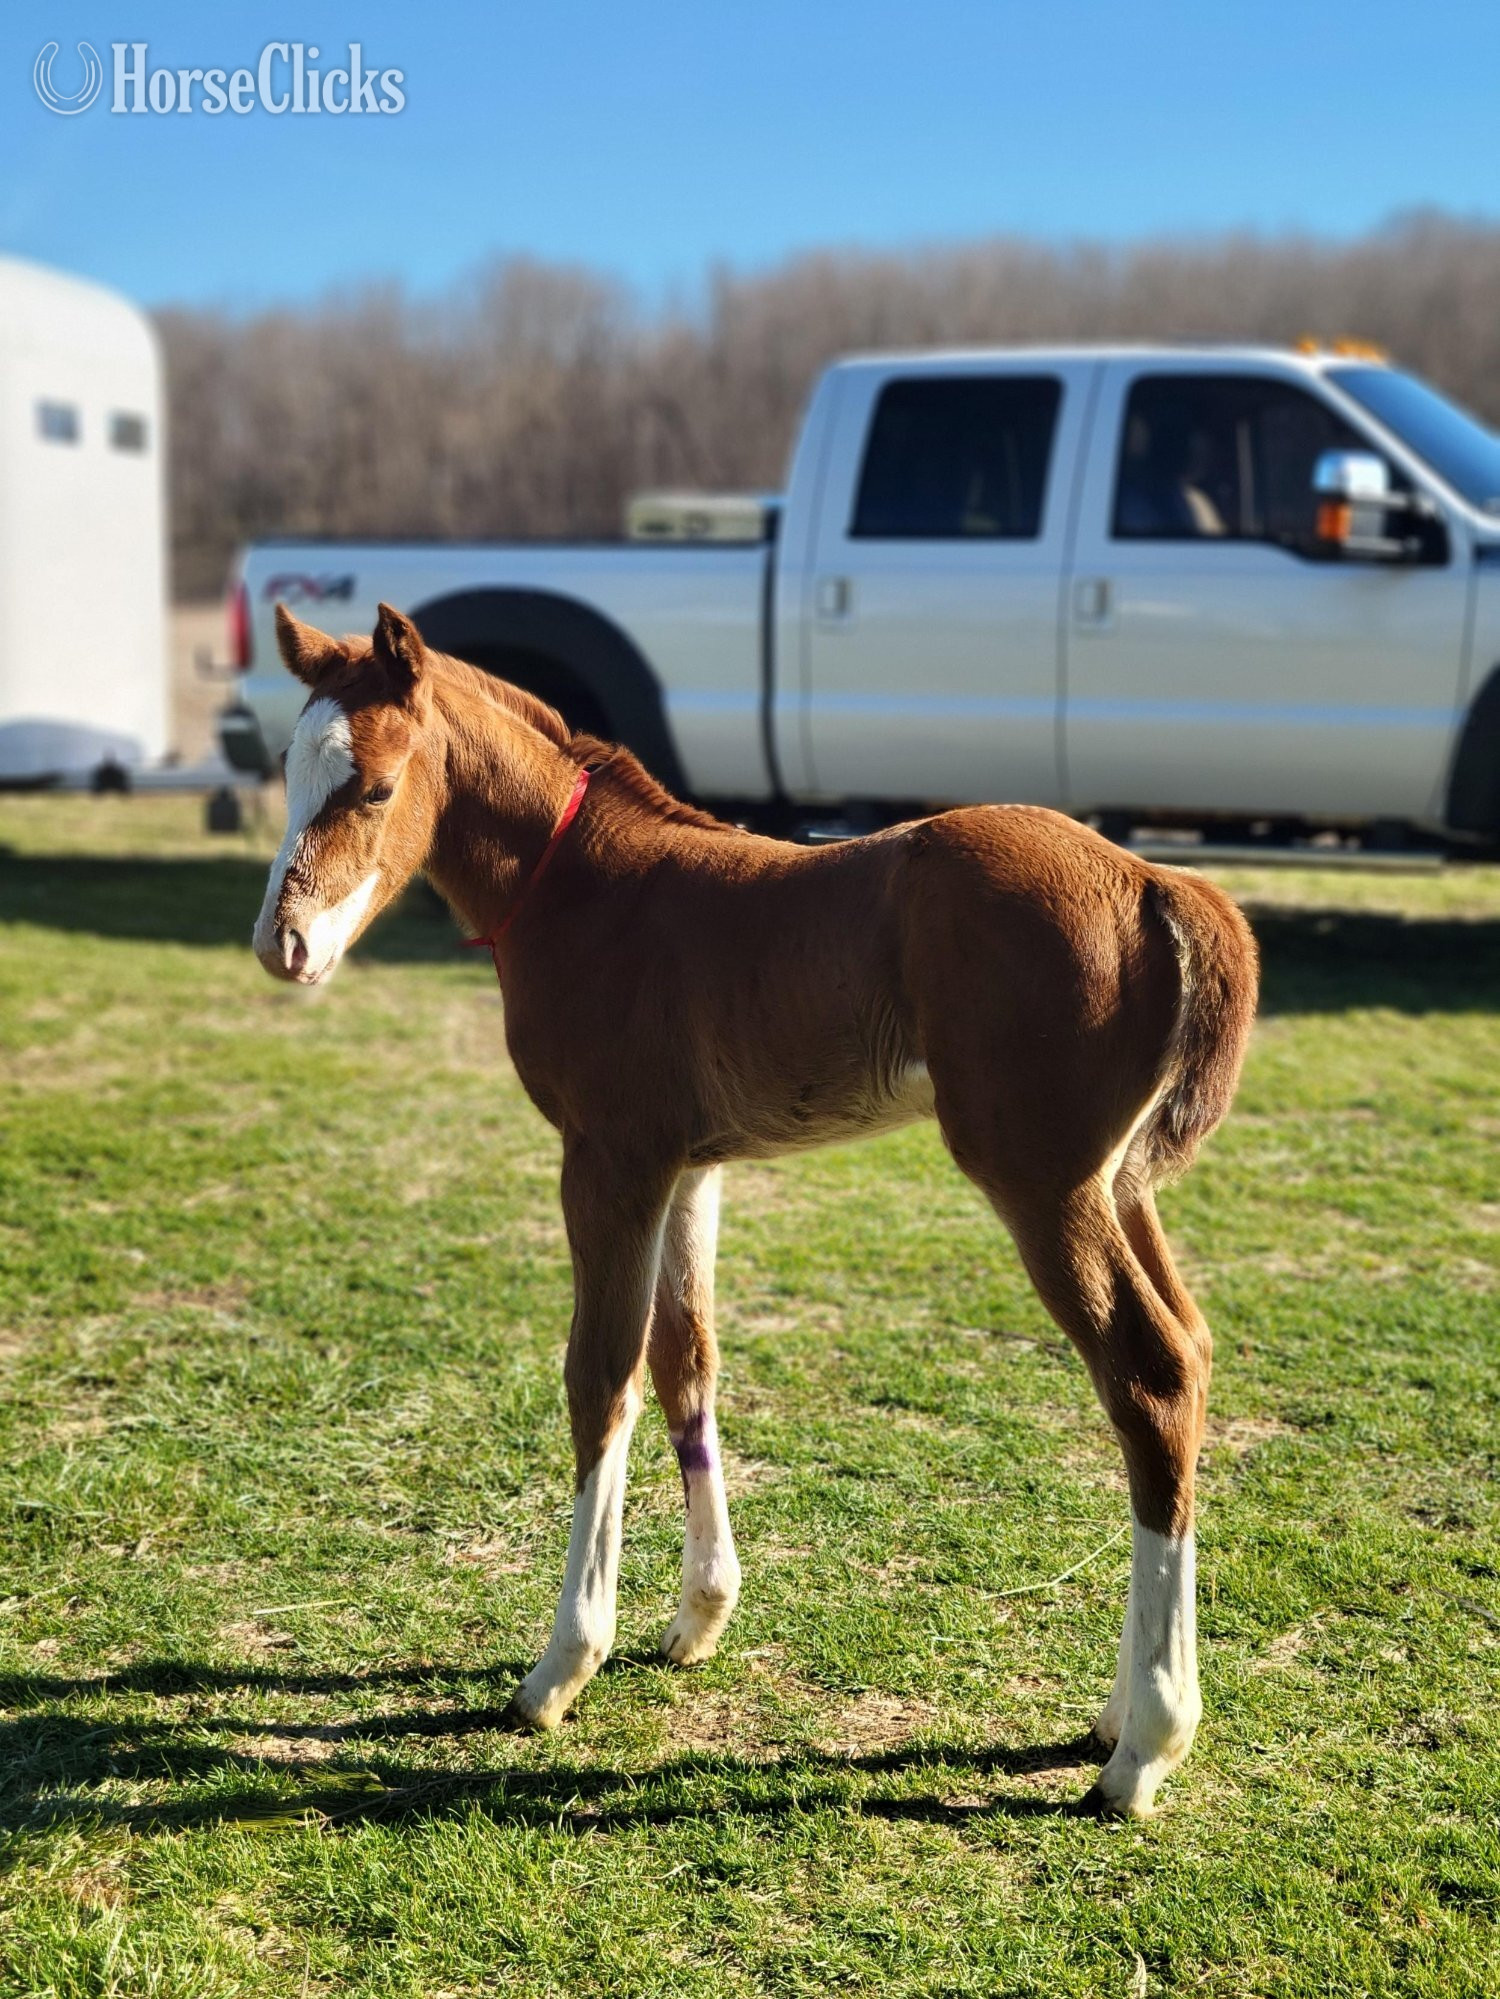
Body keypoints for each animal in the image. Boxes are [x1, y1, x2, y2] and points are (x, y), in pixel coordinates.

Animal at [253, 602, 1258, 1816]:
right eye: (288, 773)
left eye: (377, 789)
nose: (284, 946)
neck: (588, 887)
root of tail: (1158, 882)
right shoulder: (692, 1167)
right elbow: (687, 1359)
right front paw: (698, 1615)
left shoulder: (608, 1159)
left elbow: (601, 1376)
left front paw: (561, 1666)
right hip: (1117, 1181)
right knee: (1192, 1350)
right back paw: (1121, 1712)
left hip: (1040, 1178)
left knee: (1147, 1374)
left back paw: (1144, 1744)